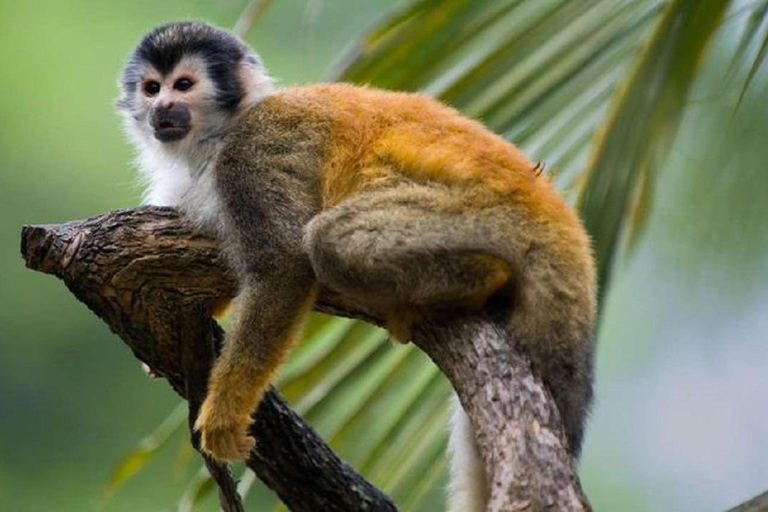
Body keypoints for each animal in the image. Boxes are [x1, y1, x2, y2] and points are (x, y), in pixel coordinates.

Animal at [117, 21, 596, 511]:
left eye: (184, 85)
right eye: (152, 88)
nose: (162, 108)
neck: (219, 135)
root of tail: (554, 210)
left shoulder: (249, 157)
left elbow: (283, 265)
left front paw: (225, 415)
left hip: (485, 213)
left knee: (329, 241)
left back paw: (482, 277)